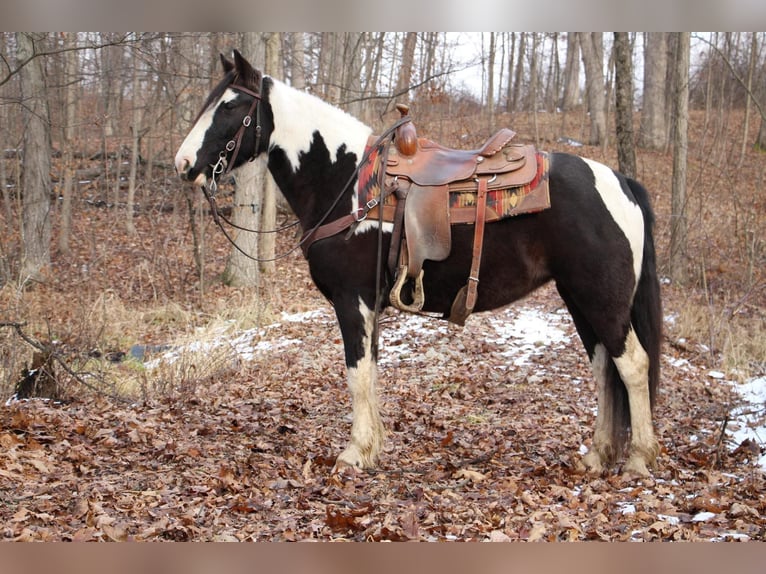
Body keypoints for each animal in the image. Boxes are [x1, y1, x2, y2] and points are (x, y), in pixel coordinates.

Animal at [177, 51, 664, 480]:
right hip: (577, 297)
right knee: (604, 368)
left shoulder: (351, 301)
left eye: (230, 105)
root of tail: (621, 182)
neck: (350, 186)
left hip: (602, 299)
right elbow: (371, 372)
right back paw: (597, 456)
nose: (183, 164)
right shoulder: (368, 305)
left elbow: (356, 374)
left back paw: (639, 458)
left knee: (632, 365)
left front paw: (354, 453)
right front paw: (372, 448)